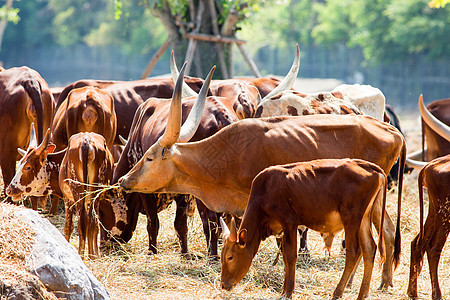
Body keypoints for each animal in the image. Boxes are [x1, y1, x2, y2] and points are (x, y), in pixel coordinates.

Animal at [221, 158, 386, 298]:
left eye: (230, 257)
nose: (223, 285)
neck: (265, 192)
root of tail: (368, 166)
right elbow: (285, 257)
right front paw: (284, 290)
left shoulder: (290, 223)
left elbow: (290, 256)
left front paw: (287, 293)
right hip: (364, 219)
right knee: (370, 249)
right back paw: (362, 294)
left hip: (351, 218)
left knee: (353, 252)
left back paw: (337, 292)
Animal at [408, 155, 450, 300]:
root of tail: (429, 165)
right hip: (444, 213)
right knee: (434, 248)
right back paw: (437, 294)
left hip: (434, 210)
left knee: (417, 243)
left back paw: (412, 292)